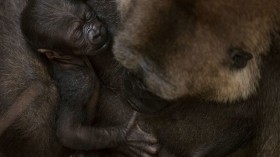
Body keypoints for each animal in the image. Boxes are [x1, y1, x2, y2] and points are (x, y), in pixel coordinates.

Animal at [20, 0, 158, 155]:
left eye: (89, 16)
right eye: (77, 34)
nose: (96, 32)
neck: (68, 59)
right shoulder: (81, 81)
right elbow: (69, 132)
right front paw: (126, 138)